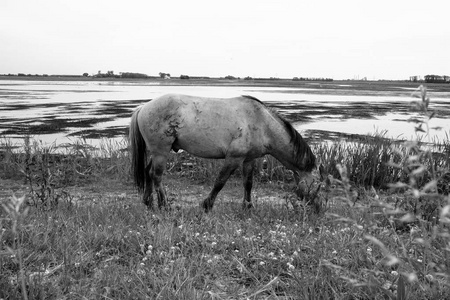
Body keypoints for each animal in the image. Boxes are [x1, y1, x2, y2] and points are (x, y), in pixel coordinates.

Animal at [128, 93, 314, 211]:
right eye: (317, 186)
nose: (316, 209)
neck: (262, 123)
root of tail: (143, 107)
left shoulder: (249, 159)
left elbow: (248, 183)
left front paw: (247, 206)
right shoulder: (233, 158)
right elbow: (220, 182)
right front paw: (207, 205)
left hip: (156, 152)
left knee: (148, 172)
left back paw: (149, 203)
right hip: (161, 151)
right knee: (156, 175)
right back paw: (164, 205)